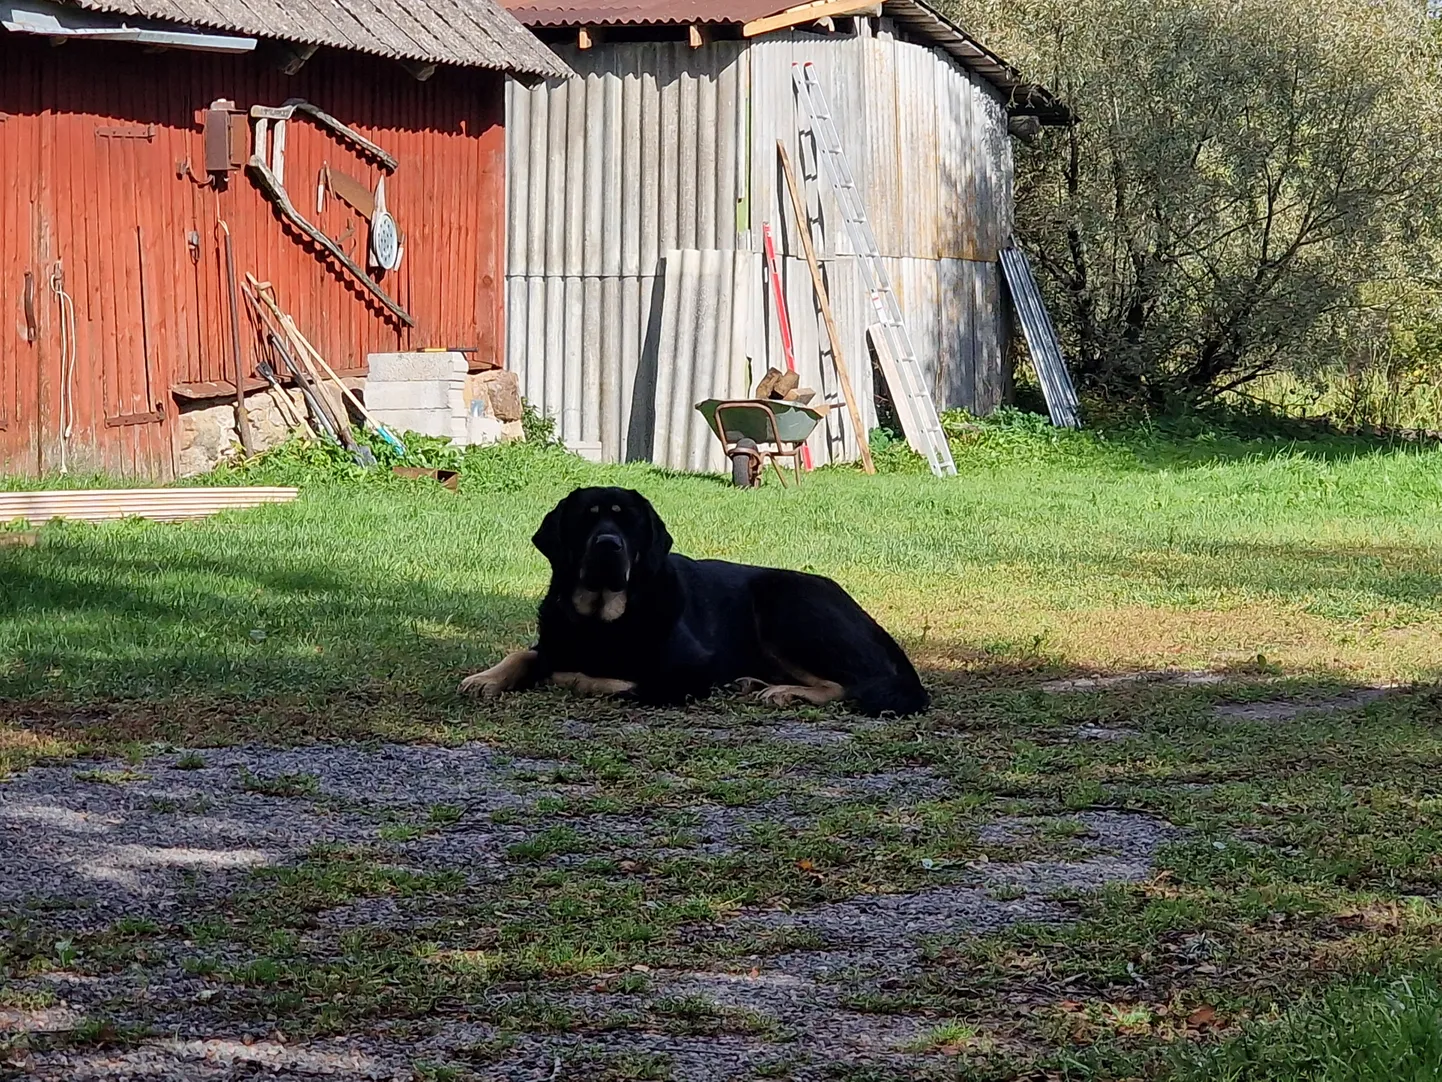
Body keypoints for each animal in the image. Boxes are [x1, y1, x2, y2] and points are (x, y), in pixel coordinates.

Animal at [464, 487, 934, 715]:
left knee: (850, 683)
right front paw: (486, 678)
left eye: (629, 522)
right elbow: (526, 654)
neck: (602, 618)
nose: (608, 545)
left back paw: (782, 692)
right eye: (587, 518)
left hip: (785, 604)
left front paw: (573, 676)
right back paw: (756, 684)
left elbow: (610, 679)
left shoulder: (689, 672)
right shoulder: (553, 639)